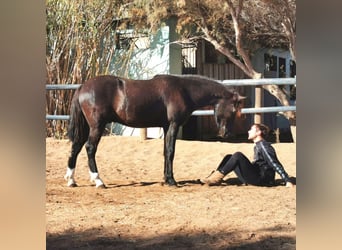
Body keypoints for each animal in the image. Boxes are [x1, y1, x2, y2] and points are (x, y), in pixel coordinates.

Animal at [64, 74, 244, 188]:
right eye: (234, 110)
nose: (226, 134)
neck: (184, 90)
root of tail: (82, 87)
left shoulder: (166, 126)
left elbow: (165, 151)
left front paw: (166, 178)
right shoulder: (173, 125)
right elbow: (170, 151)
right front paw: (171, 181)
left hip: (86, 126)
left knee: (76, 147)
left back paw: (71, 180)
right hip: (97, 126)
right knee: (90, 148)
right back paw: (98, 181)